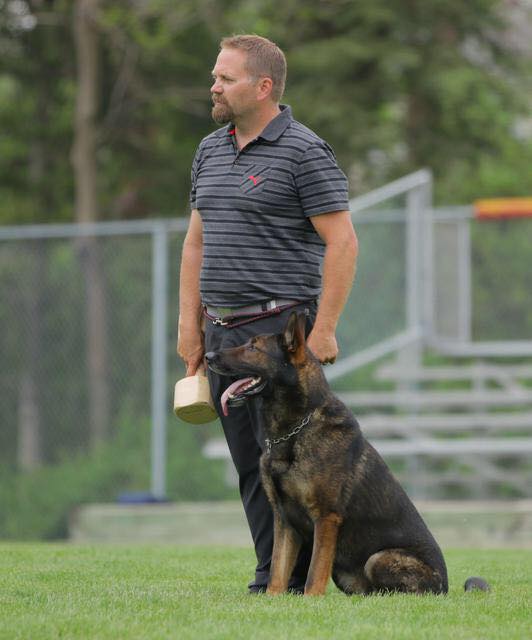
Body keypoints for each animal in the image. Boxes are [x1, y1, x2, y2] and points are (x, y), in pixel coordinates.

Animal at [206, 312, 456, 596]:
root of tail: (444, 586)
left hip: (378, 559)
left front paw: (310, 599)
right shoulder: (284, 520)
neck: (296, 429)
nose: (208, 356)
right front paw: (272, 598)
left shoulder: (326, 518)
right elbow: (277, 571)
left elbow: (315, 571)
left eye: (253, 347)